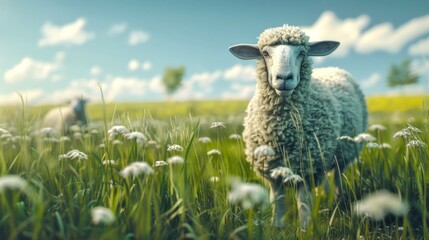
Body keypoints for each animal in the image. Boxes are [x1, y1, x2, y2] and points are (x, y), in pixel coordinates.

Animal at [229, 24, 366, 229]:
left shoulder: (308, 169)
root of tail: (333, 68)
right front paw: (277, 227)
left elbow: (304, 205)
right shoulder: (273, 171)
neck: (283, 132)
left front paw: (305, 230)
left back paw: (337, 203)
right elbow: (277, 203)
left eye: (302, 52)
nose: (284, 78)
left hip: (343, 153)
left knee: (338, 177)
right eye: (265, 53)